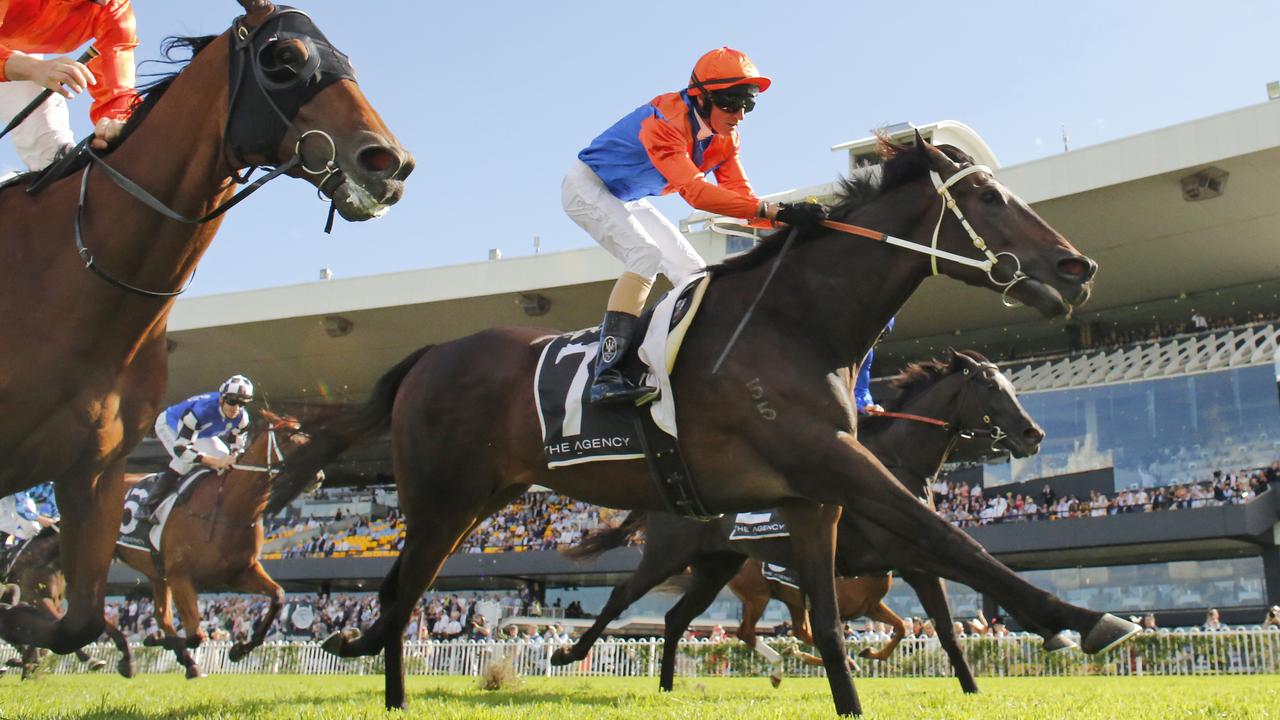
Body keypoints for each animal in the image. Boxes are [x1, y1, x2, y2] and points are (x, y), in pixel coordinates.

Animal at [275, 134, 1136, 712]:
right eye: (988, 198)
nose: (1078, 268)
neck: (796, 324)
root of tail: (430, 352)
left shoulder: (811, 500)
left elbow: (838, 626)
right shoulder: (835, 465)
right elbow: (952, 542)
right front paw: (1081, 620)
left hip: (485, 501)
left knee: (408, 589)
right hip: (442, 497)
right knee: (411, 593)